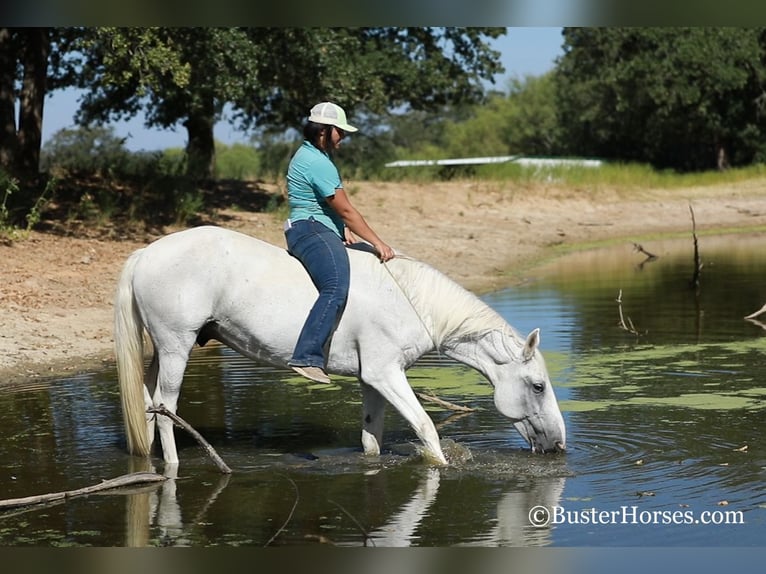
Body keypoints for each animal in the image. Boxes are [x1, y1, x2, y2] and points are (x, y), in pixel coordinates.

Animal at [115, 225, 568, 468]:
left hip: (160, 351)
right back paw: (175, 465)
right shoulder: (386, 375)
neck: (412, 300)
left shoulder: (373, 380)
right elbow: (426, 428)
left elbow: (371, 439)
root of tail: (145, 253)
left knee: (146, 403)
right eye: (538, 386)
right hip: (177, 346)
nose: (560, 444)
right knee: (166, 407)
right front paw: (441, 467)